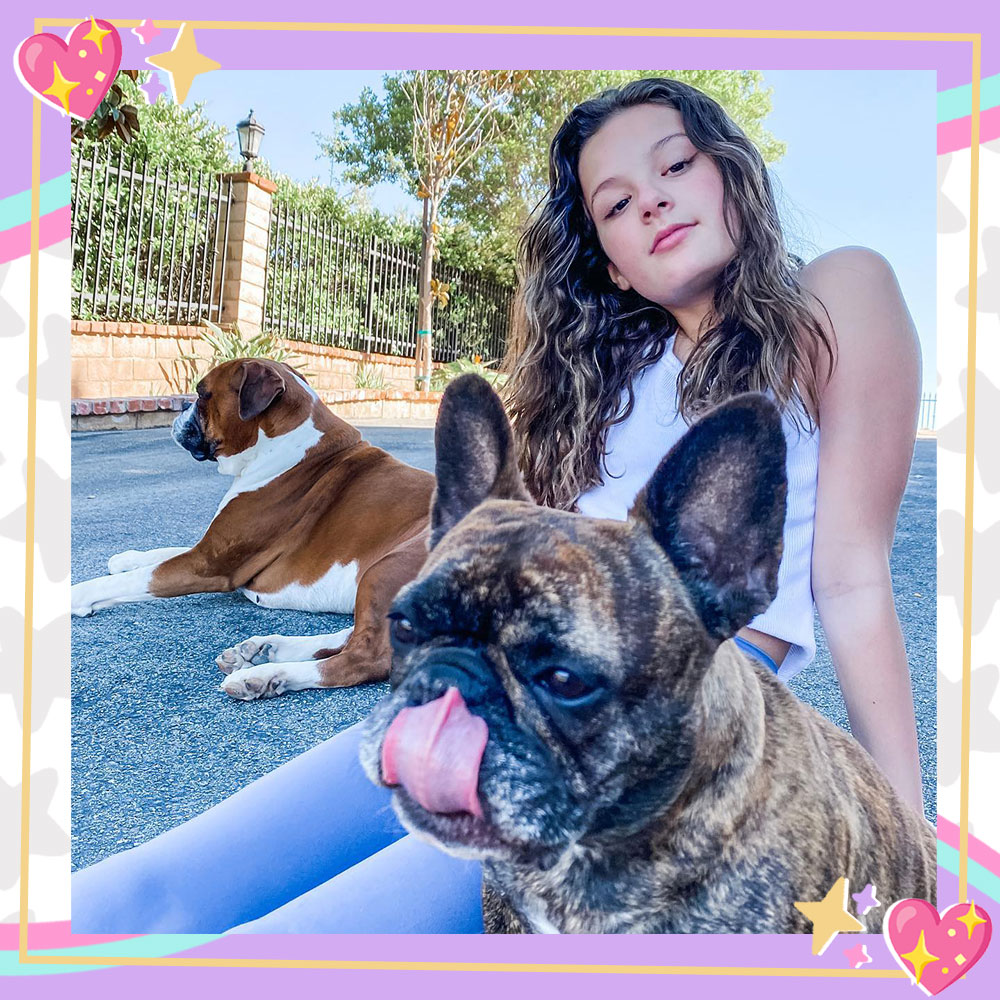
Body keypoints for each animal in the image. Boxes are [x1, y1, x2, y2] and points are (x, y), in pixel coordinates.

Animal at [70, 356, 430, 700]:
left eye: (202, 393)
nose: (181, 405)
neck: (282, 445)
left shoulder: (206, 564)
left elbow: (133, 580)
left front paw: (74, 595)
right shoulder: (211, 547)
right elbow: (160, 554)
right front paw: (125, 558)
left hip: (386, 568)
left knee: (368, 656)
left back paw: (263, 676)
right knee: (357, 634)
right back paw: (264, 650)